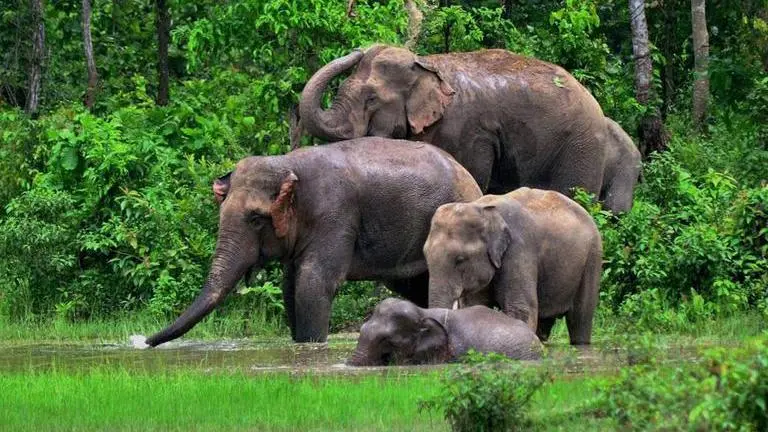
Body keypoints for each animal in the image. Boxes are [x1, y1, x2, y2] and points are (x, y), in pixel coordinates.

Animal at [144, 137, 482, 346]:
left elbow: (313, 283)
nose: (143, 340)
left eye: (256, 219)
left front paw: (311, 343)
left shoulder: (335, 214)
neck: (287, 164)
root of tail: (469, 176)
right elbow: (290, 286)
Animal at [423, 187, 602, 345]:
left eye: (460, 259)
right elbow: (475, 306)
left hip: (592, 256)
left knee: (580, 317)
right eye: (425, 255)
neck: (482, 209)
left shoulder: (519, 249)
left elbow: (520, 309)